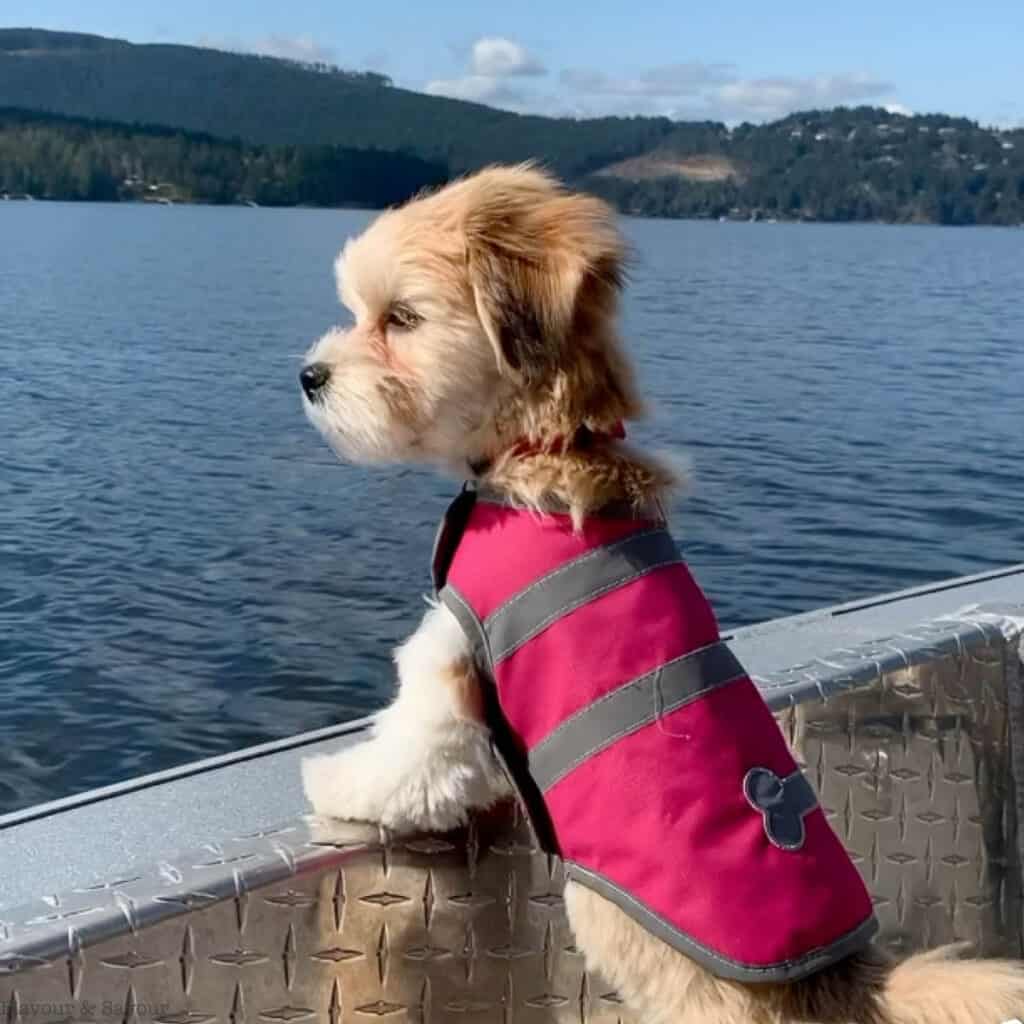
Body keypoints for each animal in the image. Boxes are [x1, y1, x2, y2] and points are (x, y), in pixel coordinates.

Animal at [296, 165, 1024, 1024]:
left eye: (400, 318)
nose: (309, 377)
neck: (548, 447)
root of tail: (836, 983)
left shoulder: (450, 657)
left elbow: (411, 758)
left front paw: (341, 779)